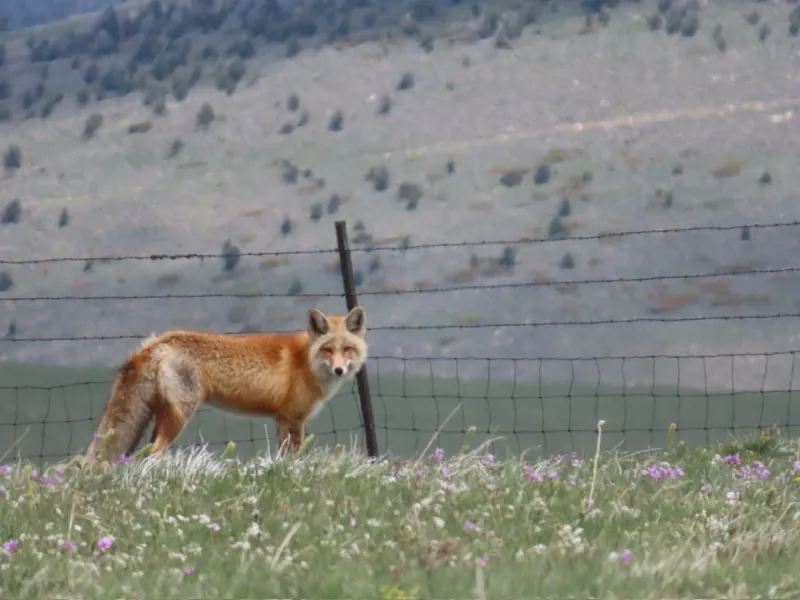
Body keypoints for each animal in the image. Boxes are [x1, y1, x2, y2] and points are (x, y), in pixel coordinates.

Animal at [82, 306, 368, 466]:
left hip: (162, 414)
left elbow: (283, 456)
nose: (340, 369)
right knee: (153, 452)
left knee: (146, 451)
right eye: (328, 349)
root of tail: (157, 341)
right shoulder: (293, 418)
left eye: (348, 349)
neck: (307, 361)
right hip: (179, 416)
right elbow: (294, 456)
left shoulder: (282, 419)